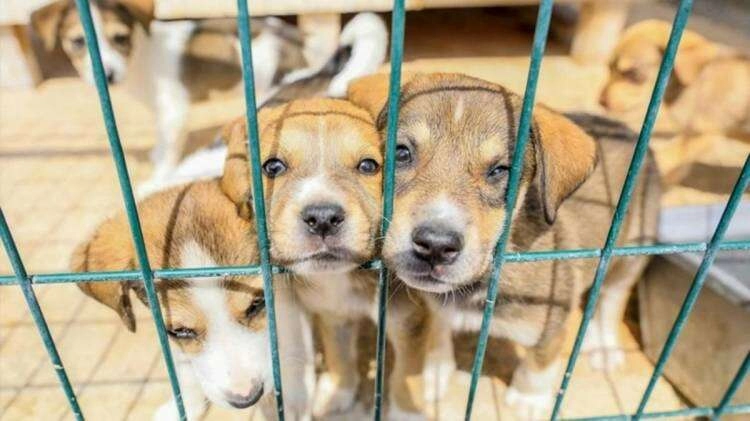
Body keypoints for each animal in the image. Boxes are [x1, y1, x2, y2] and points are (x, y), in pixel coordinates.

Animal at [31, 0, 386, 194]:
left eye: (120, 38)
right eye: (78, 43)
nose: (108, 75)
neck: (140, 55)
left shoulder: (172, 110)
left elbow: (169, 150)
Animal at [72, 180, 313, 421]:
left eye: (257, 304)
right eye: (180, 331)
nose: (247, 399)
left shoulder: (285, 305)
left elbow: (292, 351)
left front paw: (291, 401)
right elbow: (186, 373)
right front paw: (186, 406)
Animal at [220, 98, 432, 420]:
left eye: (368, 166)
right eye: (273, 166)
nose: (322, 218)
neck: (338, 278)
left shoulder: (407, 318)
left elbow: (407, 375)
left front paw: (407, 413)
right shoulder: (334, 316)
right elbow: (339, 357)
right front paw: (338, 393)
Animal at [347, 72, 661, 419]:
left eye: (500, 171)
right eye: (401, 153)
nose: (435, 246)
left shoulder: (551, 324)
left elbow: (540, 362)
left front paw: (528, 399)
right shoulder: (431, 305)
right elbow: (438, 332)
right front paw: (433, 371)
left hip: (631, 253)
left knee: (611, 299)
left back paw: (604, 347)